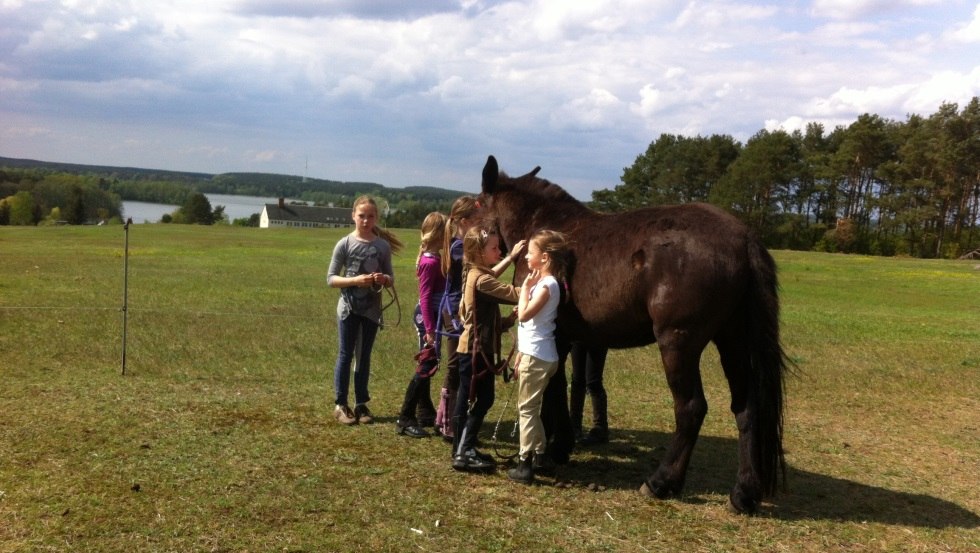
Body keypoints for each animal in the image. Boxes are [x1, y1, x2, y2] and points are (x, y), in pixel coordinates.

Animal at [478, 155, 792, 512]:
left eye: (477, 203)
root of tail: (744, 238)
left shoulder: (551, 333)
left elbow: (553, 389)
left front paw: (552, 451)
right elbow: (556, 387)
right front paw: (559, 446)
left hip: (678, 344)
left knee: (691, 408)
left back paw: (662, 482)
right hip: (733, 341)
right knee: (747, 408)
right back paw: (744, 493)